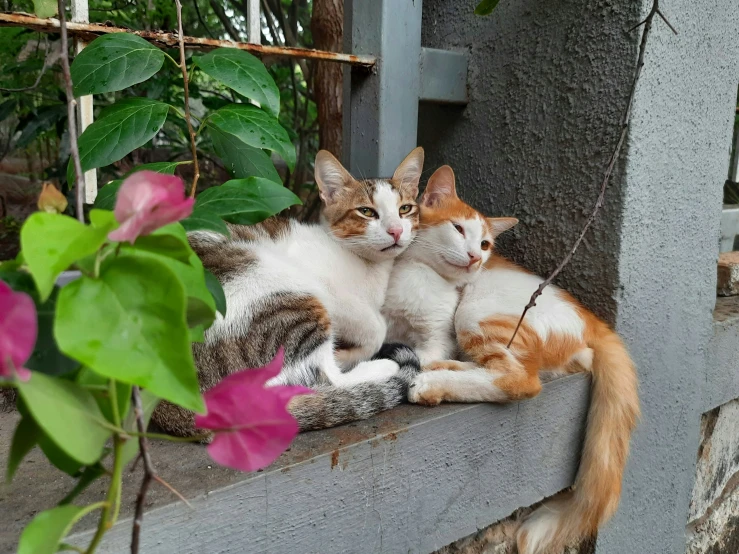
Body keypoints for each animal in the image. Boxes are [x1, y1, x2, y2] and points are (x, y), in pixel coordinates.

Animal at [384, 165, 640, 552]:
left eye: (485, 244)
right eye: (458, 229)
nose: (476, 258)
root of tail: (593, 320)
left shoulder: (439, 332)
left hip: (478, 312)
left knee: (519, 379)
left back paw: (432, 383)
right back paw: (445, 370)